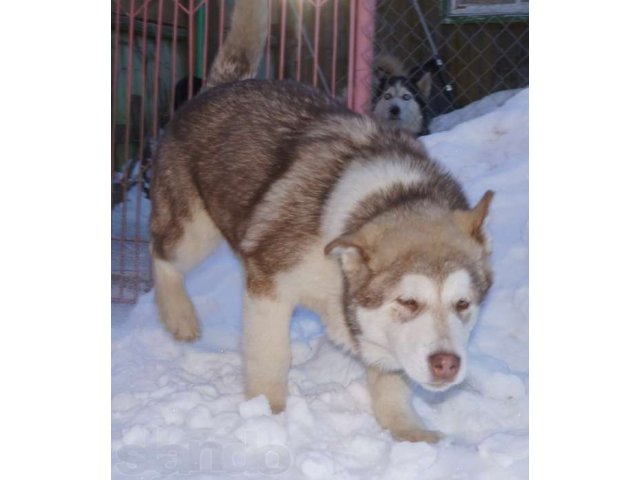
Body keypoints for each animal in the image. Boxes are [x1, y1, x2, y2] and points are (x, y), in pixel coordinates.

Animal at [150, 0, 496, 444]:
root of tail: (220, 85)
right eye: (408, 302)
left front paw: (407, 431)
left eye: (463, 304)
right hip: (193, 232)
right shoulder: (267, 286)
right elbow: (271, 356)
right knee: (160, 253)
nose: (447, 364)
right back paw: (179, 316)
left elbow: (390, 383)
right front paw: (268, 414)